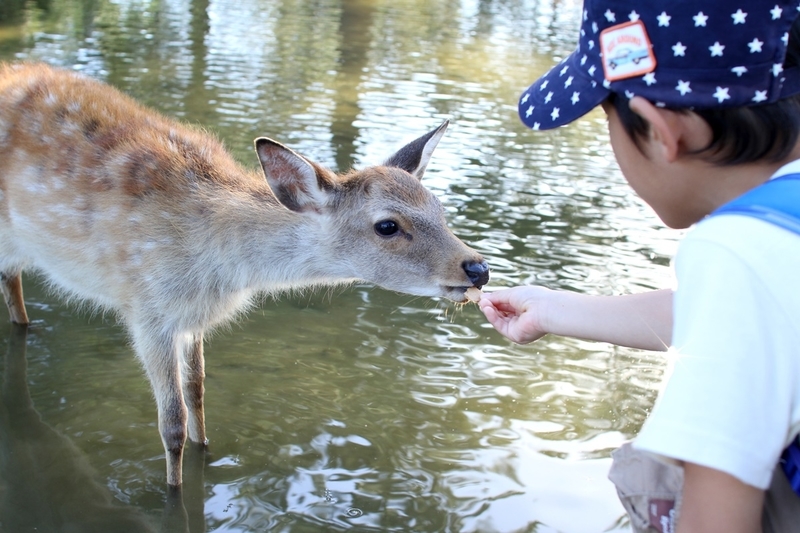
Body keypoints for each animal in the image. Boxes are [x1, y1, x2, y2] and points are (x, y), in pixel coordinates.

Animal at [0, 61, 488, 486]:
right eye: (387, 225)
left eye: (440, 208)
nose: (478, 268)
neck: (214, 264)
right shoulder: (146, 310)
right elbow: (171, 423)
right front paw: (174, 488)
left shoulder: (191, 318)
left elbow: (197, 391)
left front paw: (207, 448)